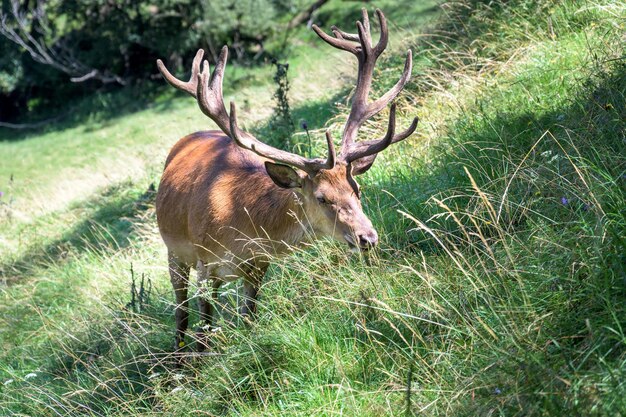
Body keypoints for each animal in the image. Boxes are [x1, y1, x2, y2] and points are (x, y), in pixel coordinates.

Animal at [155, 8, 416, 350]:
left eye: (357, 189)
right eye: (321, 197)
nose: (368, 237)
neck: (240, 224)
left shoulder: (258, 264)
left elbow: (249, 318)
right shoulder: (204, 260)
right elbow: (203, 326)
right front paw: (200, 360)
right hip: (174, 251)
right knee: (181, 313)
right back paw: (178, 353)